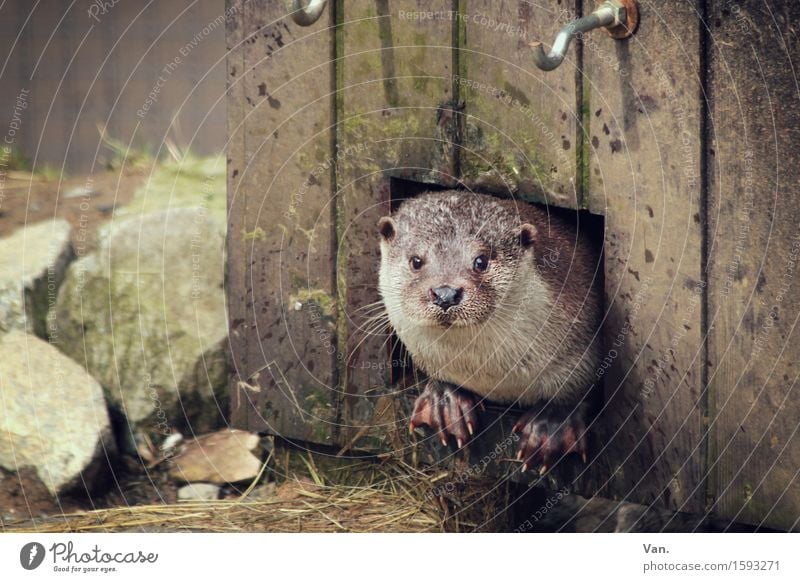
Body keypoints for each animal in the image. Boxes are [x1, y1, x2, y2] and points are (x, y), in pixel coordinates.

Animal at [378, 192, 604, 474]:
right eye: (416, 261)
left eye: (481, 261)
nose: (445, 293)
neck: (493, 375)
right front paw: (445, 401)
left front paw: (553, 424)